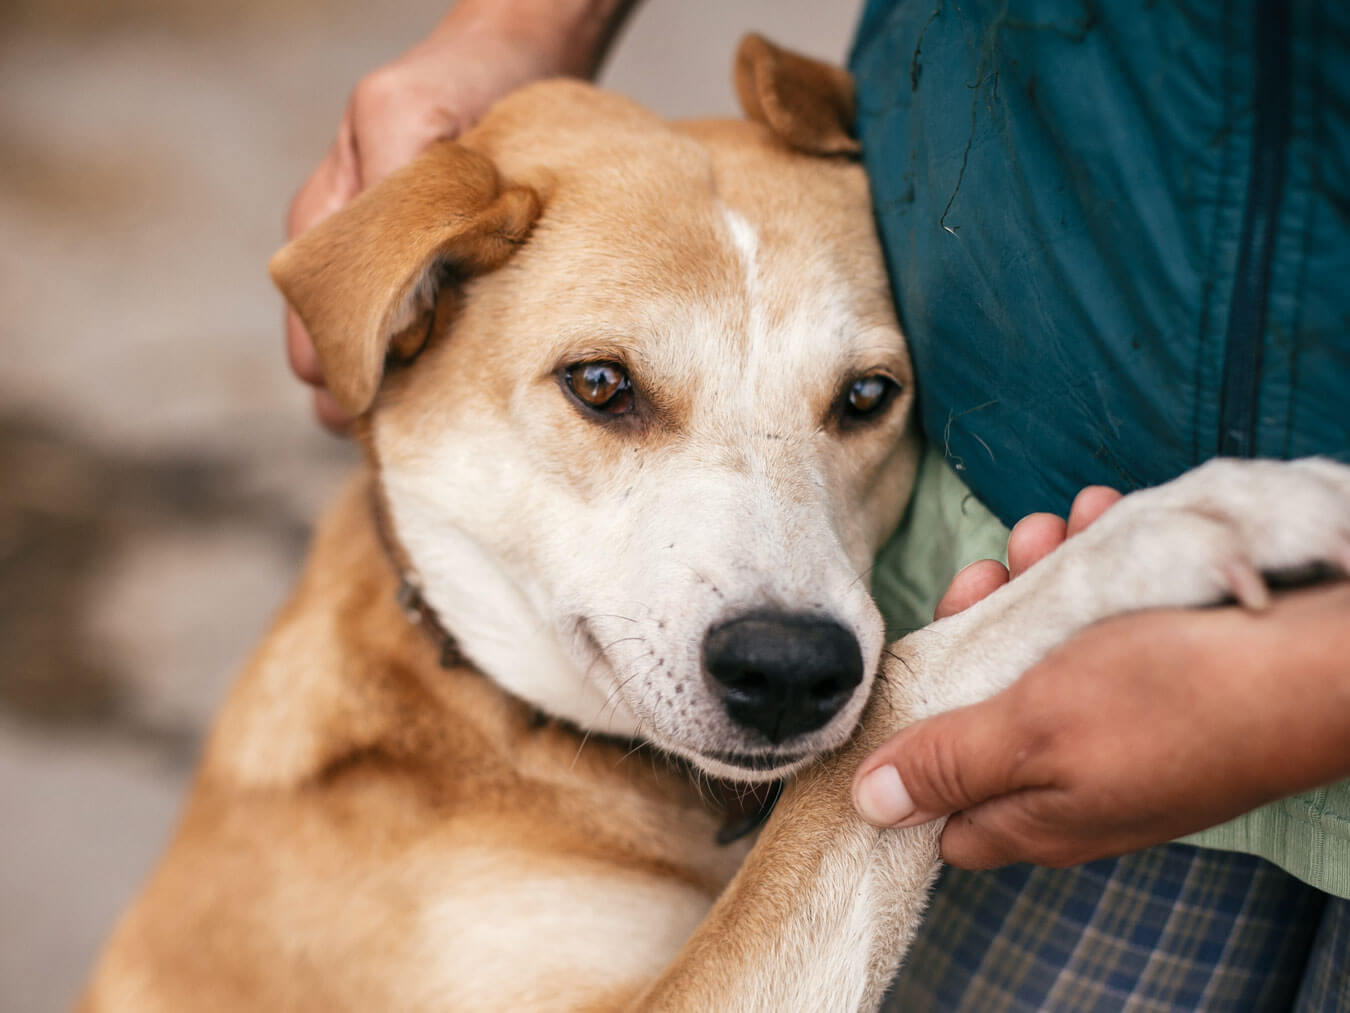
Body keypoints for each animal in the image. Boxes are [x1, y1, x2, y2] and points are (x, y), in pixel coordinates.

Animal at [81, 33, 1350, 1013]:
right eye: (600, 384)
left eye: (868, 395)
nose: (787, 670)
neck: (490, 723)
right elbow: (898, 692)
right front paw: (1210, 511)